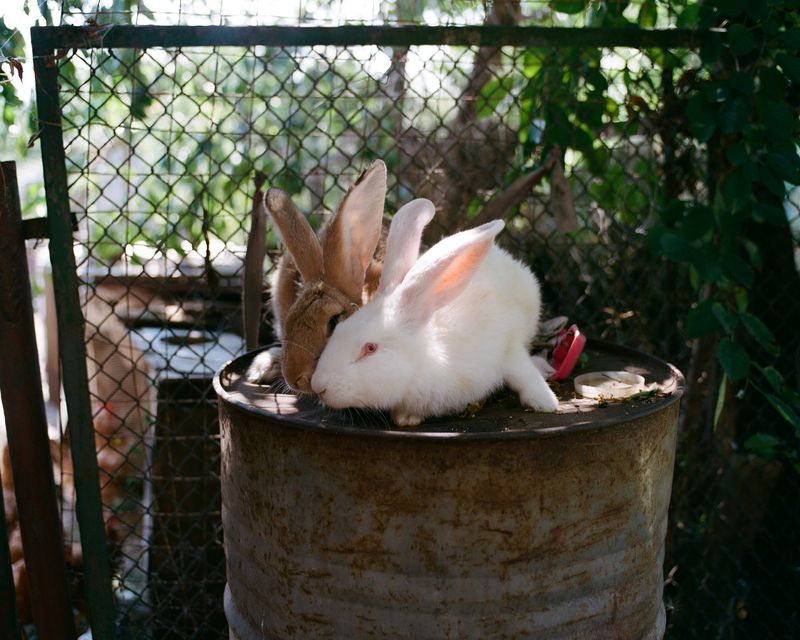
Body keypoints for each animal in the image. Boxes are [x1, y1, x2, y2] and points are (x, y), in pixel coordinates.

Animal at [310, 205, 560, 426]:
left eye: (370, 348)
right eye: (338, 328)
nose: (318, 387)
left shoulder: (506, 345)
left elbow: (521, 371)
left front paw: (545, 403)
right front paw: (406, 418)